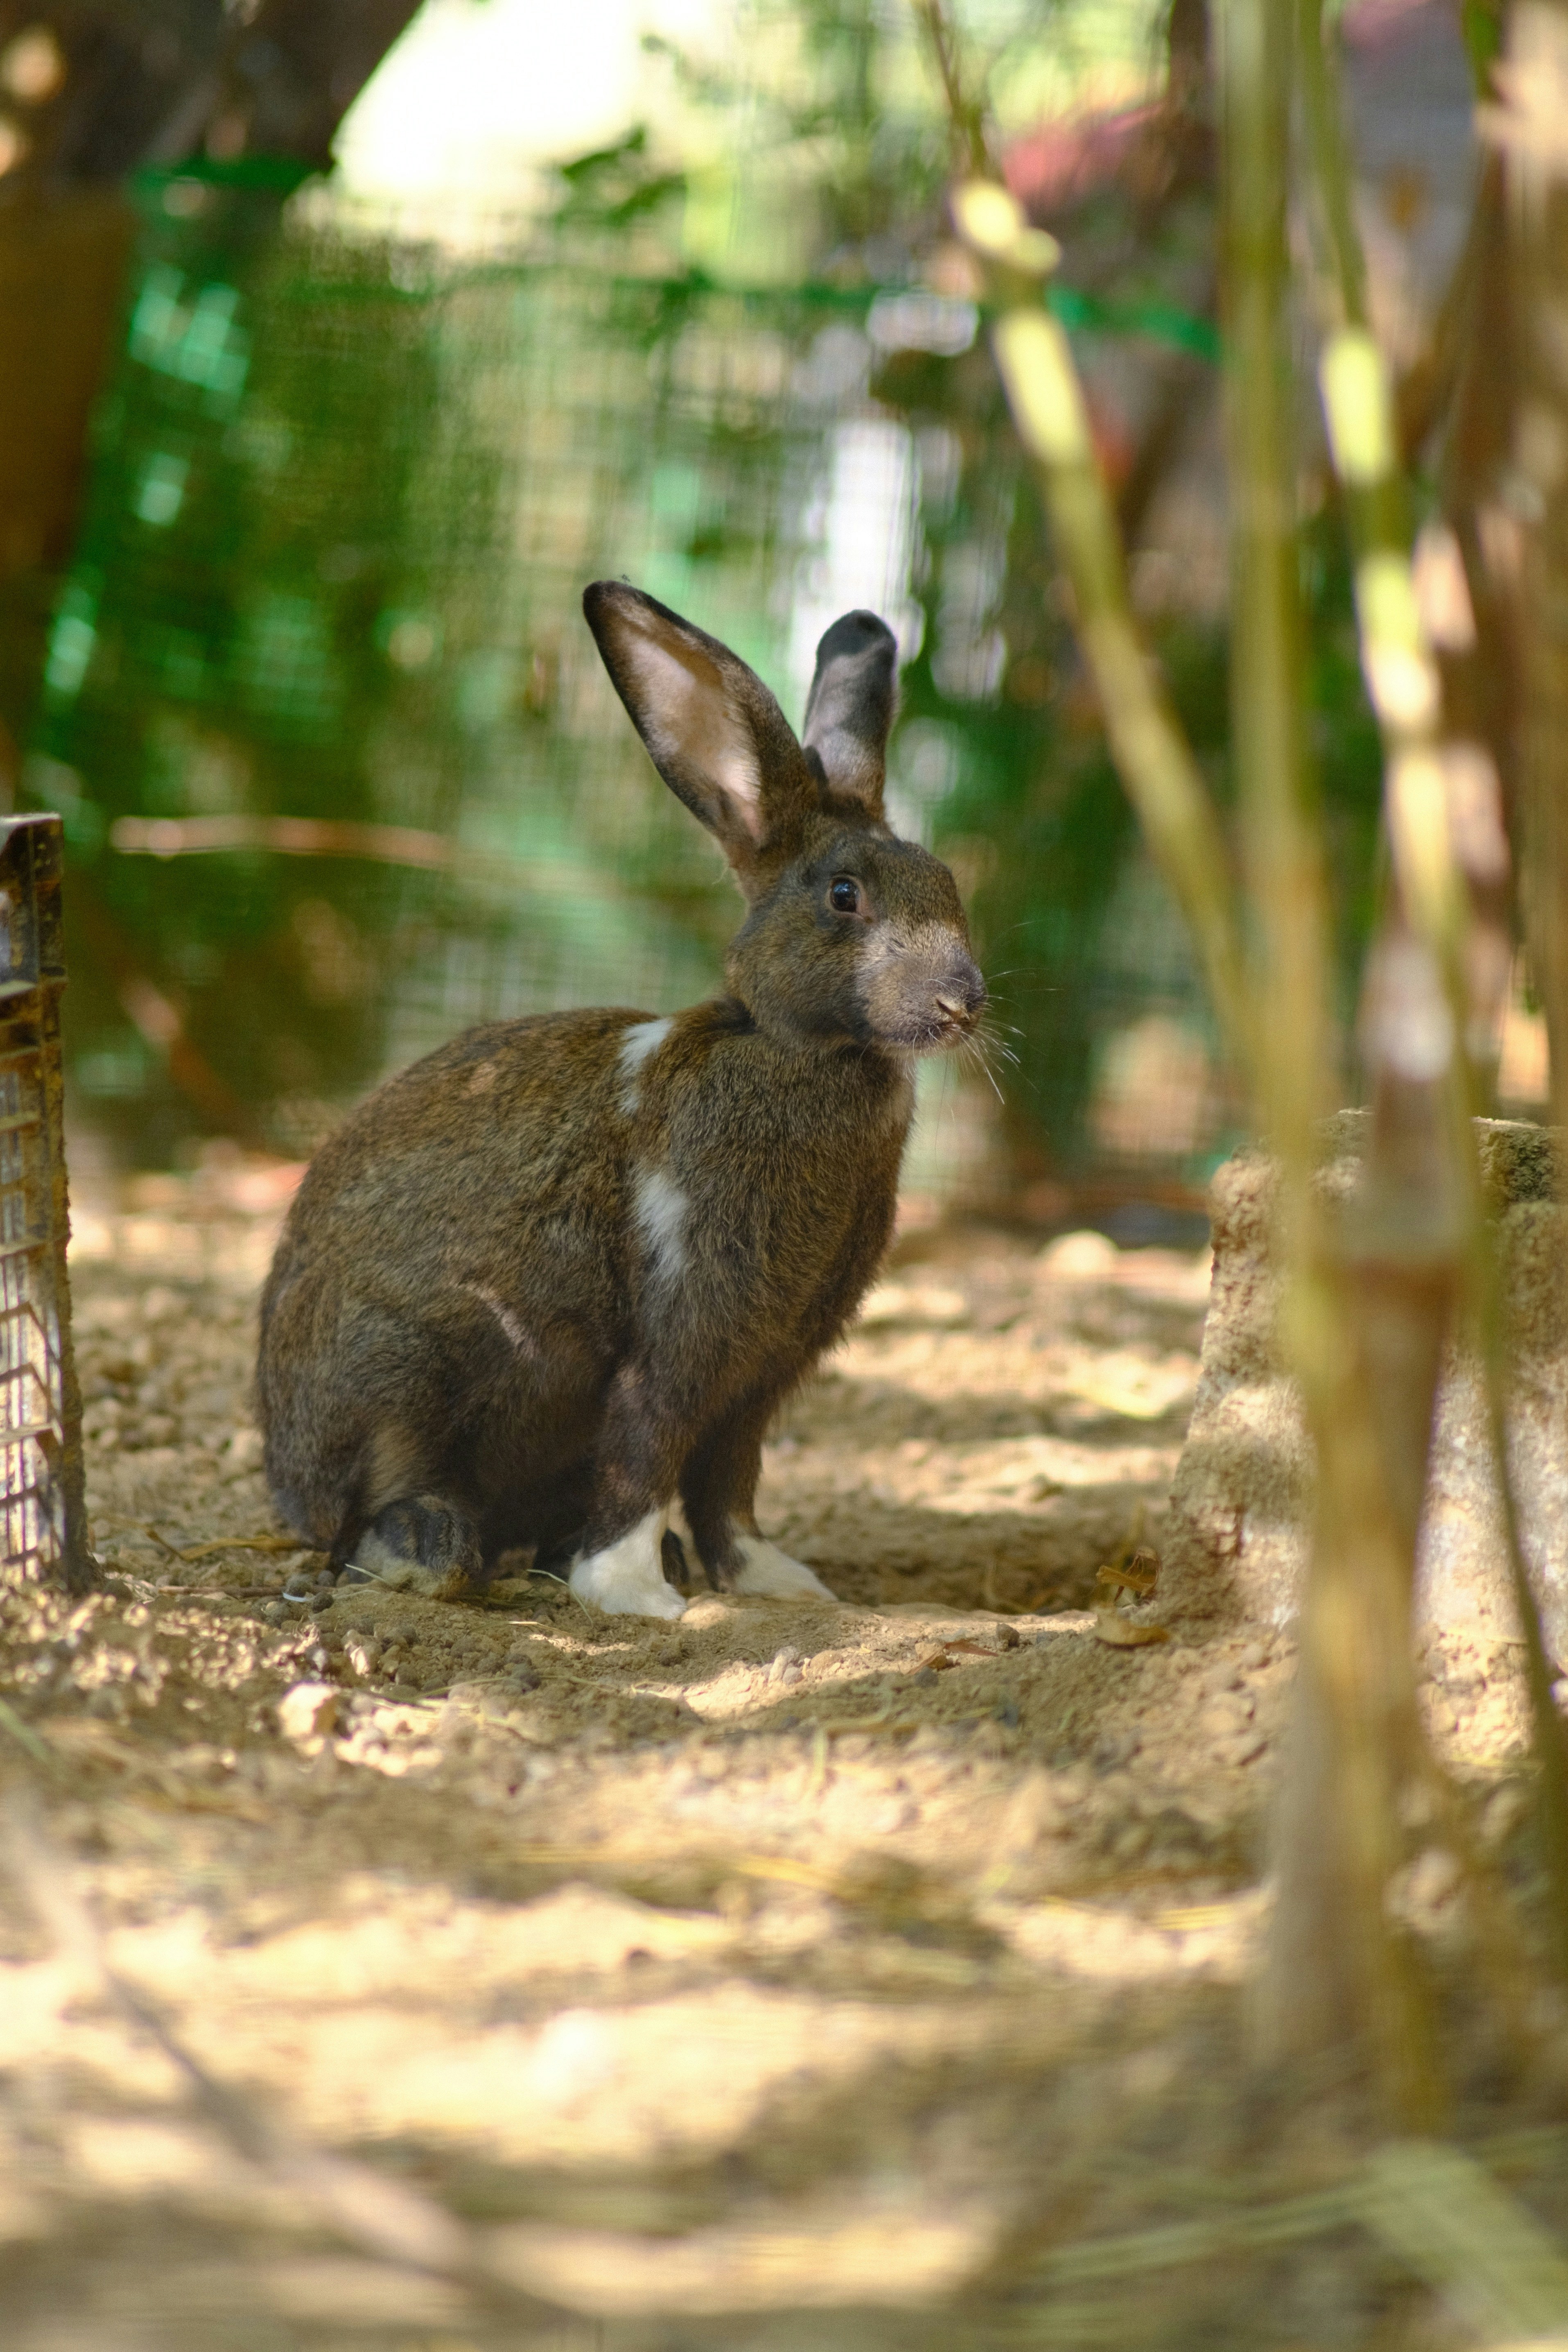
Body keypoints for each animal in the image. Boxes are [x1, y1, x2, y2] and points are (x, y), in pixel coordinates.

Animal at [256, 581, 986, 1619]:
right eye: (845, 895)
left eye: (947, 881)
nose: (964, 1001)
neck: (792, 1048)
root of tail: (281, 1461)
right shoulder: (686, 1325)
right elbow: (650, 1443)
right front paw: (636, 1594)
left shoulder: (766, 1370)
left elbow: (728, 1482)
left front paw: (781, 1584)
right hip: (403, 1369)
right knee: (378, 1499)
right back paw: (427, 1548)